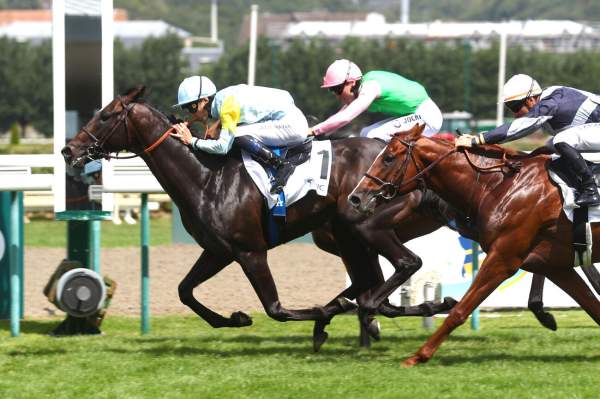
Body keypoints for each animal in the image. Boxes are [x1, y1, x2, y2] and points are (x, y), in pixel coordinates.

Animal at [346, 123, 600, 368]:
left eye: (388, 157)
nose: (356, 197)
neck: (501, 185)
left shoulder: (502, 258)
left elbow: (460, 310)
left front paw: (418, 356)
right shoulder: (554, 266)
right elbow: (592, 305)